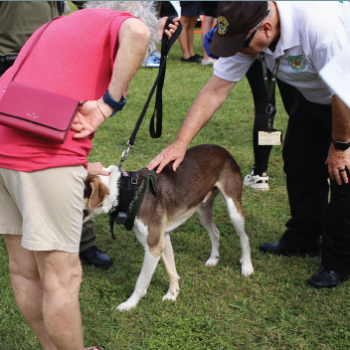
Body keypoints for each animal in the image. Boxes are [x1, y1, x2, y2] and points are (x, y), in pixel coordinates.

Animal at [85, 145, 254, 312]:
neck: (127, 191)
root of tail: (222, 149)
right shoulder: (163, 238)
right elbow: (171, 270)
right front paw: (173, 294)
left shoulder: (153, 247)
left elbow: (141, 282)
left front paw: (129, 304)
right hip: (202, 209)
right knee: (215, 233)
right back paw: (213, 259)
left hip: (233, 209)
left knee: (245, 237)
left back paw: (247, 266)